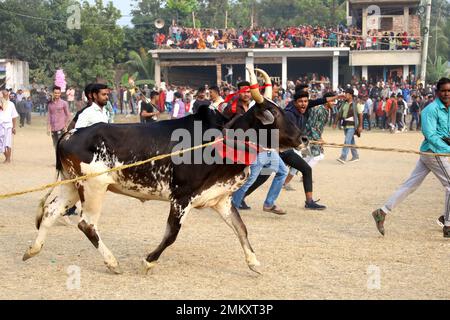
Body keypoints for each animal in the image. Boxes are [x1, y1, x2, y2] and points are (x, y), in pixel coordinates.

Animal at [22, 69, 300, 274]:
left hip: (71, 184)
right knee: (87, 224)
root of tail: (71, 133)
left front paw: (253, 262)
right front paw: (148, 261)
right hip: (94, 187)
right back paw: (112, 262)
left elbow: (241, 229)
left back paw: (33, 249)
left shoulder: (220, 199)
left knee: (51, 212)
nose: (303, 138)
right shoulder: (181, 198)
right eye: (273, 113)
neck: (221, 141)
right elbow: (171, 235)